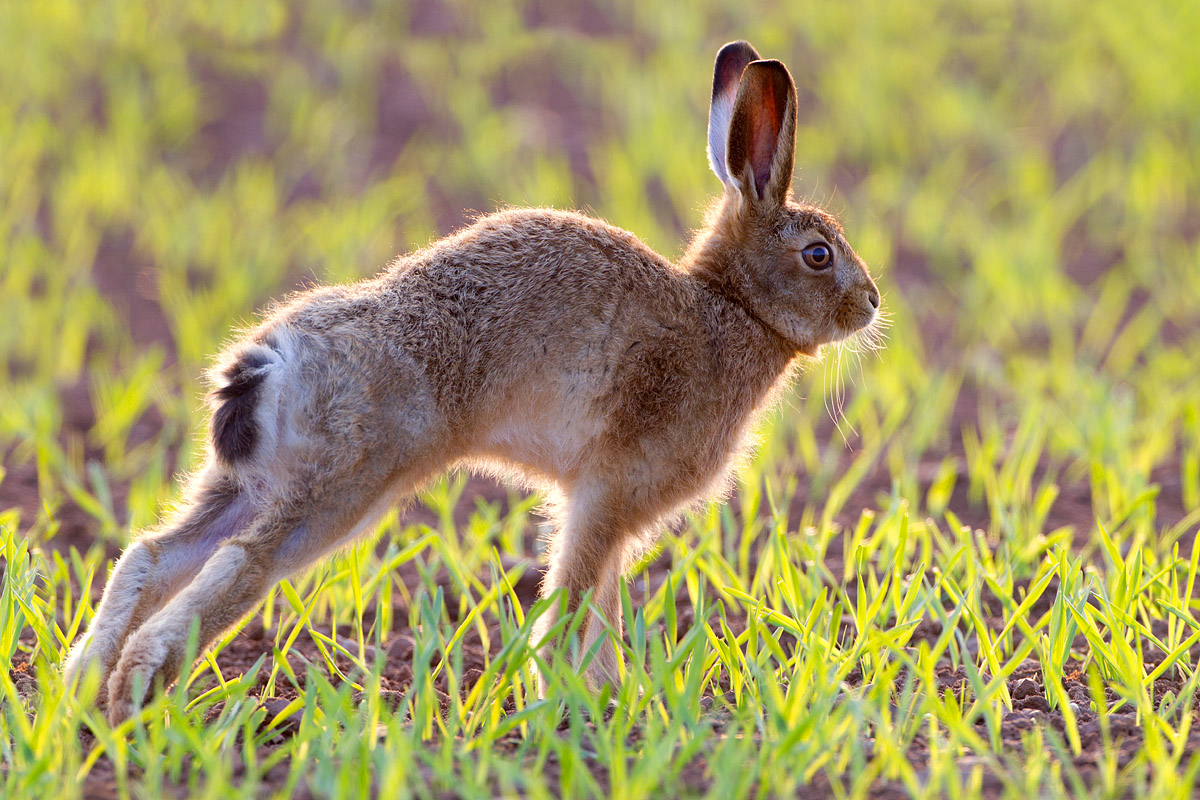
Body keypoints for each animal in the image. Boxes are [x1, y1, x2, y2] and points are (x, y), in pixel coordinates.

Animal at [63, 40, 881, 723]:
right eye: (818, 254)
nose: (872, 302)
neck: (732, 307)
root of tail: (275, 357)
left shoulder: (604, 507)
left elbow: (601, 607)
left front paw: (608, 701)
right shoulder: (606, 494)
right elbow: (573, 603)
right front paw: (567, 706)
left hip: (254, 479)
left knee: (154, 553)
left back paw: (82, 687)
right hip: (348, 481)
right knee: (243, 560)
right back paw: (137, 686)